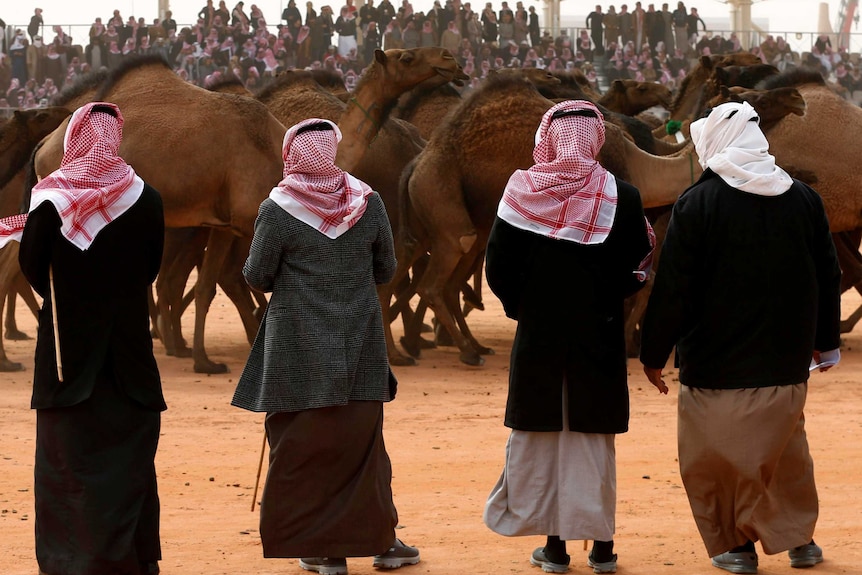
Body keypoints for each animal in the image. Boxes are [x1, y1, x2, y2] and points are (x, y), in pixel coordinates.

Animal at [386, 73, 704, 364]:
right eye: (640, 86)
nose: (668, 93)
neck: (640, 164)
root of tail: (417, 162)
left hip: (429, 214)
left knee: (409, 265)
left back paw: (421, 349)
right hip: (441, 196)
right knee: (436, 276)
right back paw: (463, 351)